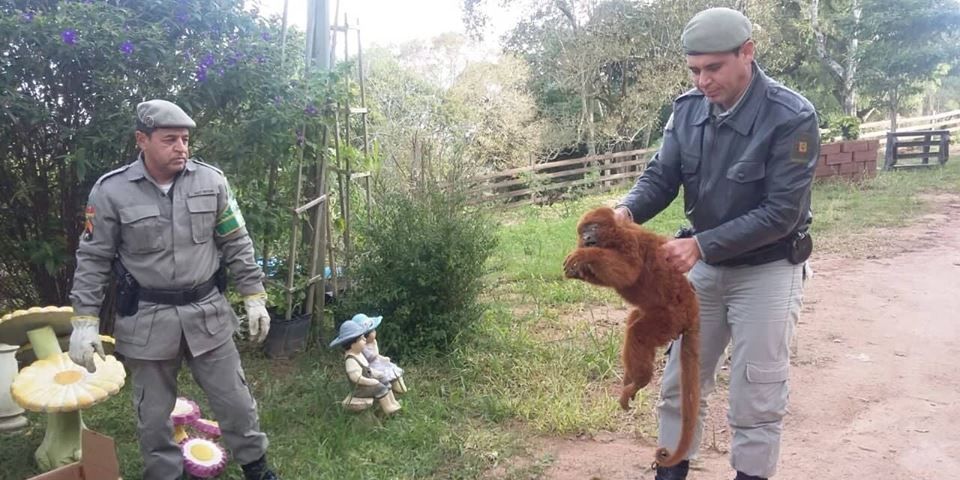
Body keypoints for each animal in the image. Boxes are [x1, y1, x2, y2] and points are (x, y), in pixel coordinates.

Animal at [564, 207, 696, 468]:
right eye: (583, 231)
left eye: (592, 228)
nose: (586, 238)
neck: (613, 235)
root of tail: (690, 302)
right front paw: (578, 270)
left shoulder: (629, 241)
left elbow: (628, 272)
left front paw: (584, 255)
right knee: (634, 320)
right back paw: (630, 380)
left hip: (671, 318)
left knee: (638, 332)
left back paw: (640, 380)